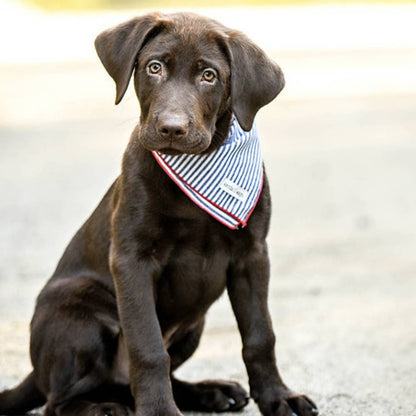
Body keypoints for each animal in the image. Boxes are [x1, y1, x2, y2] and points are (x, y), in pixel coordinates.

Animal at [0, 12, 318, 416]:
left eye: (209, 75)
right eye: (154, 67)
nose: (171, 128)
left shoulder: (252, 254)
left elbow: (260, 335)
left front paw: (278, 397)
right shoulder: (132, 259)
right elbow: (147, 347)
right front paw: (158, 410)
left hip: (194, 326)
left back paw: (211, 391)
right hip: (79, 310)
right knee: (58, 400)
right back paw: (103, 408)